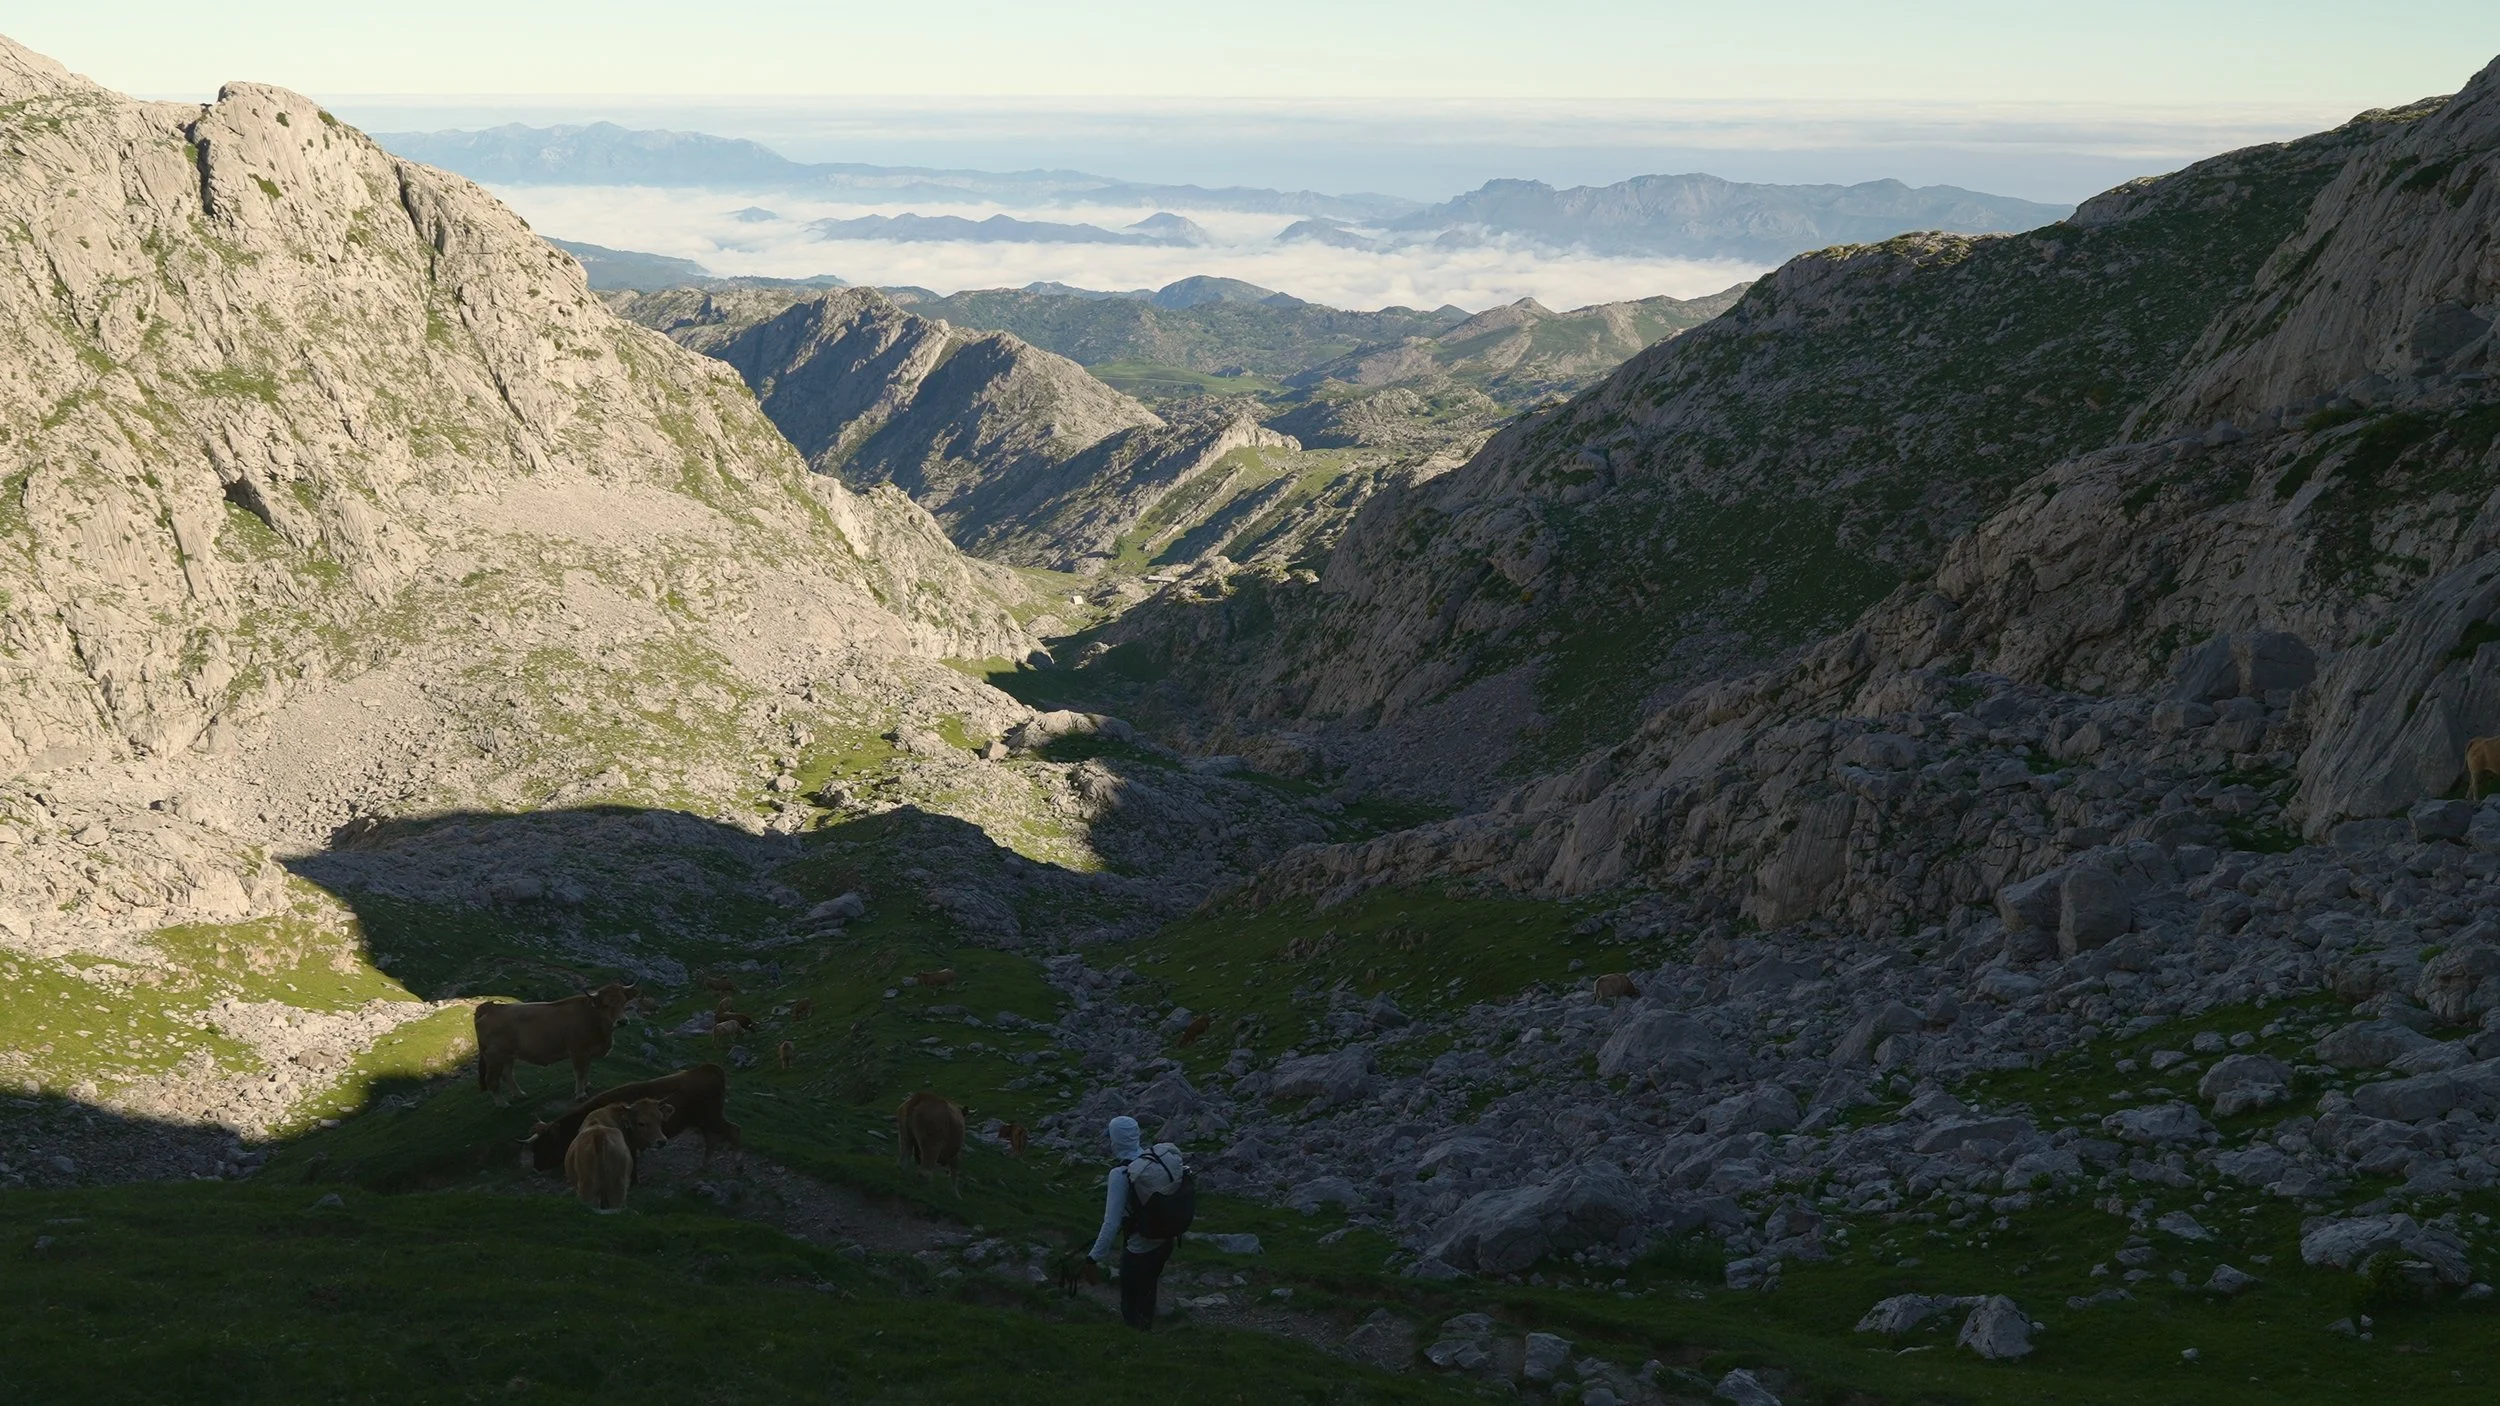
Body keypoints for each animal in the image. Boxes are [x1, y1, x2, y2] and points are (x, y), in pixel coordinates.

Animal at [474, 982, 636, 1103]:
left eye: (623, 1002)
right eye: (606, 1005)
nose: (622, 1021)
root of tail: (491, 1007)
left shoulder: (587, 1053)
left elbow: (586, 1071)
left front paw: (587, 1086)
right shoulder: (577, 1051)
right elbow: (580, 1073)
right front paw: (580, 1094)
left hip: (507, 1056)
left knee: (507, 1075)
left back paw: (520, 1094)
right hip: (494, 1057)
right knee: (492, 1080)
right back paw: (502, 1103)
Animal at [526, 1065, 741, 1174]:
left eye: (545, 1143)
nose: (536, 1167)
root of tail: (709, 1069)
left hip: (712, 1118)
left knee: (733, 1131)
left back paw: (737, 1165)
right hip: (704, 1121)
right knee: (712, 1139)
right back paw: (704, 1166)